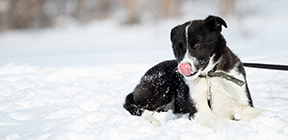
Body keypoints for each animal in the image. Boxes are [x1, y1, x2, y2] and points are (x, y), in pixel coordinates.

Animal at [122, 15, 262, 129]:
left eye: (198, 43)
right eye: (178, 47)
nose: (183, 66)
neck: (210, 75)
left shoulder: (242, 103)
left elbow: (260, 112)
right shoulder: (198, 112)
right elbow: (221, 122)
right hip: (161, 87)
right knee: (139, 108)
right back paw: (153, 120)